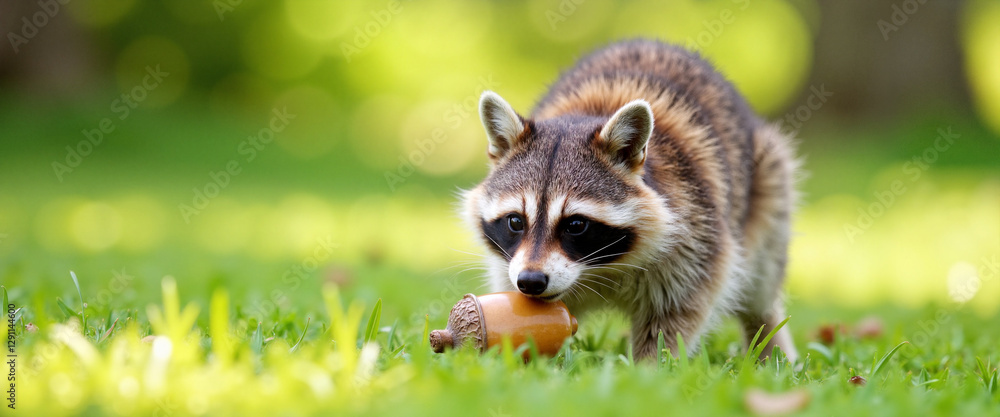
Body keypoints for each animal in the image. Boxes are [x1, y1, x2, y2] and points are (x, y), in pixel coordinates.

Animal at [461, 39, 799, 361]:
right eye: (515, 221)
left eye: (576, 225)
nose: (531, 281)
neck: (599, 268)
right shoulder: (512, 264)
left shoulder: (696, 230)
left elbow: (677, 312)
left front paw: (650, 368)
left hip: (770, 186)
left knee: (761, 284)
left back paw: (769, 337)